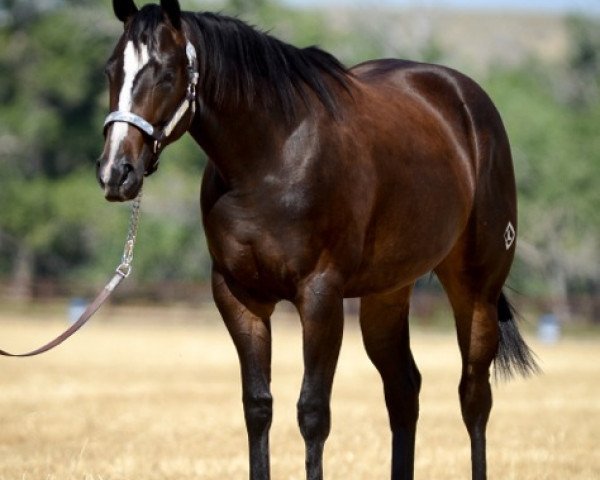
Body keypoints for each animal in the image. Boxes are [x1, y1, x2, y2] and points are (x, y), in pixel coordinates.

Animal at [96, 1, 536, 478]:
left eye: (166, 73)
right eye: (111, 69)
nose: (116, 172)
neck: (269, 159)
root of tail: (466, 100)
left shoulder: (321, 296)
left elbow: (312, 411)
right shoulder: (238, 295)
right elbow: (257, 407)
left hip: (475, 290)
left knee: (474, 397)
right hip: (387, 294)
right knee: (404, 390)